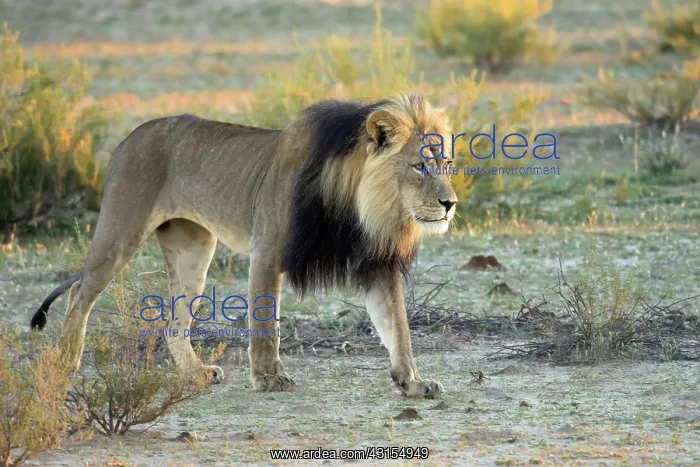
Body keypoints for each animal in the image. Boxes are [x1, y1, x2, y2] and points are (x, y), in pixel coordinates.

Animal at [30, 94, 458, 398]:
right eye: (419, 166)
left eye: (447, 165)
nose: (450, 203)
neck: (361, 204)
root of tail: (128, 137)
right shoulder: (266, 250)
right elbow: (266, 323)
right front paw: (269, 378)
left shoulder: (378, 263)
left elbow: (397, 325)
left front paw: (413, 381)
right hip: (121, 228)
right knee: (80, 293)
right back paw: (65, 363)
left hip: (193, 250)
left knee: (173, 323)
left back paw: (195, 374)